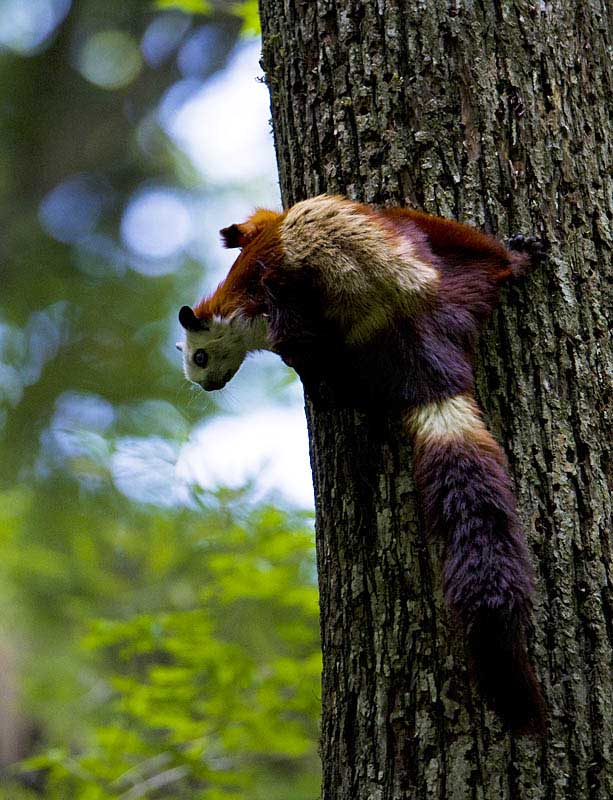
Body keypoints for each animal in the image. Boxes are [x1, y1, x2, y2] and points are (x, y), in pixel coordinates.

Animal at [176, 195, 544, 736]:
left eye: (199, 358)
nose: (205, 386)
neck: (232, 304)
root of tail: (413, 330)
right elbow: (256, 222)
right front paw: (233, 232)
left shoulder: (273, 301)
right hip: (460, 283)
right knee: (484, 265)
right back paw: (516, 262)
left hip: (394, 294)